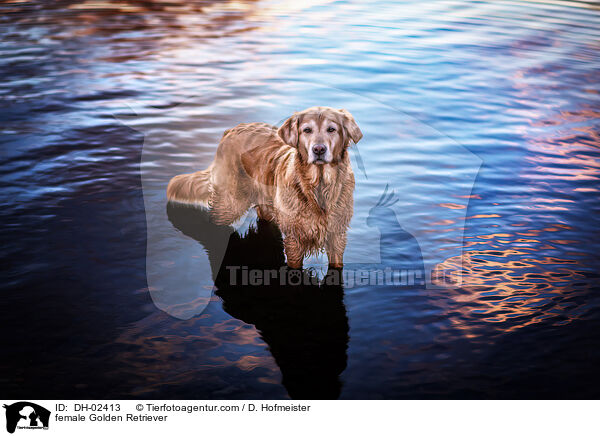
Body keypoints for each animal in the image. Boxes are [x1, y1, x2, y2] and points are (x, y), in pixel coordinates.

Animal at [165, 107, 360, 268]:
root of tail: (231, 130)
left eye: (331, 129)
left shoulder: (337, 236)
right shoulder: (294, 240)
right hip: (230, 204)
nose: (319, 149)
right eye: (307, 130)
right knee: (214, 221)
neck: (318, 187)